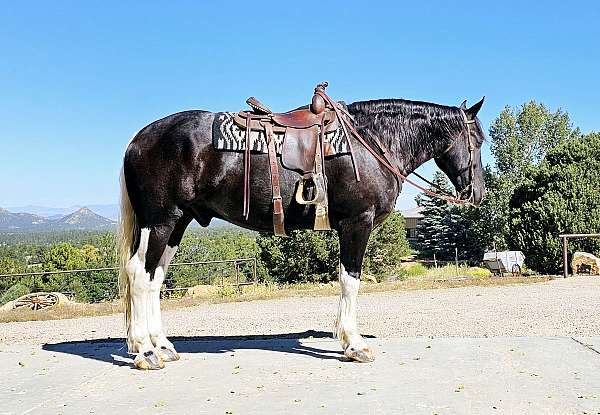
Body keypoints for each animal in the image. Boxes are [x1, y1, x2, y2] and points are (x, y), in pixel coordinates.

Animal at [118, 96, 488, 370]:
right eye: (478, 140)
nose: (478, 193)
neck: (370, 142)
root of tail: (138, 140)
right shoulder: (357, 223)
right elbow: (350, 280)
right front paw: (354, 344)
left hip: (178, 222)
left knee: (155, 277)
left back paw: (162, 346)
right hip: (160, 221)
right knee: (138, 274)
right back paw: (145, 351)